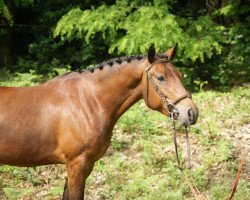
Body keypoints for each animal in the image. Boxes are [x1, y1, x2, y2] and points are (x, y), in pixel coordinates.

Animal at [0, 44, 199, 199]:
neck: (87, 100)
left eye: (180, 75)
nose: (191, 113)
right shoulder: (76, 165)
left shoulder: (85, 166)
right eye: (160, 77)